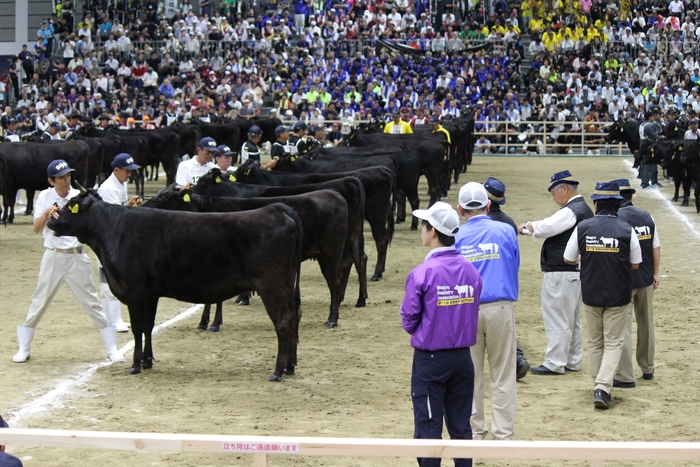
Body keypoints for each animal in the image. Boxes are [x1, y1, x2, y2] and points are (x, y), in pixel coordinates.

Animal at [47, 188, 302, 382]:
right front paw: (148, 361)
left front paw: (135, 364)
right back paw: (290, 367)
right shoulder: (150, 294)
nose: (50, 219)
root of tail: (278, 209)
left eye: (71, 205)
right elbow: (148, 326)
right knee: (294, 317)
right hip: (286, 286)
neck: (112, 231)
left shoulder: (134, 291)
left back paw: (277, 372)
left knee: (283, 321)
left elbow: (137, 328)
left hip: (272, 286)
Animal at [144, 186, 350, 330]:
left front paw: (214, 323)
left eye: (163, 197)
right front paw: (204, 322)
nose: (143, 206)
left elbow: (217, 298)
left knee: (335, 283)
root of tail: (332, 192)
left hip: (331, 253)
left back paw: (332, 319)